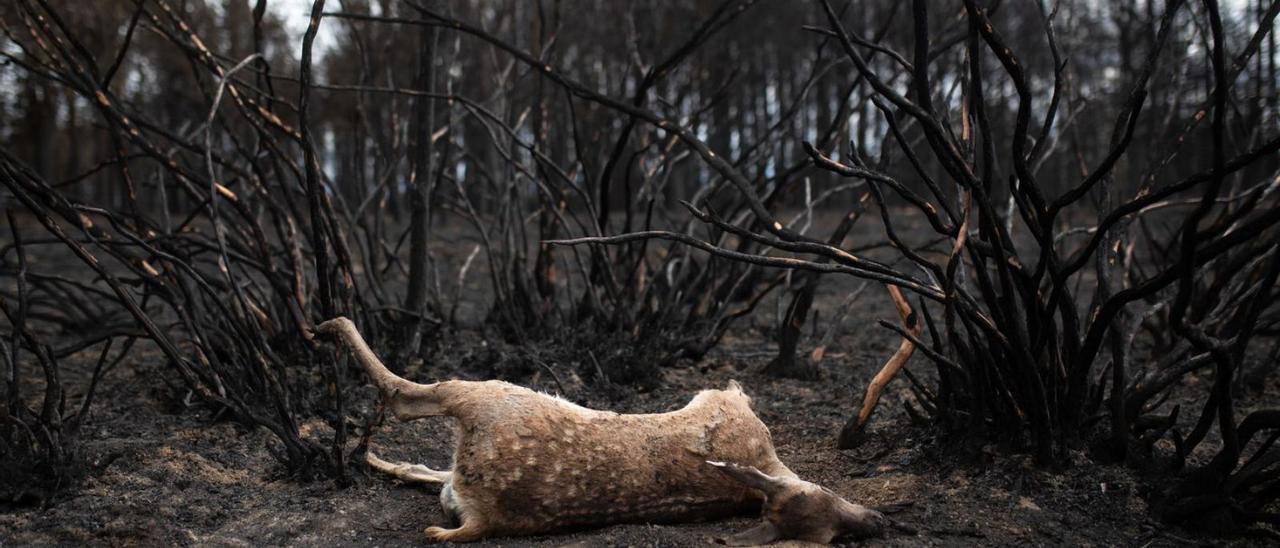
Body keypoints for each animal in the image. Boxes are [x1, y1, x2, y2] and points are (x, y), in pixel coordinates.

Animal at [314, 316, 885, 542]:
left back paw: (327, 329)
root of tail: (483, 517)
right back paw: (369, 454)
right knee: (426, 459)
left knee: (404, 396)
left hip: (492, 395)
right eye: (832, 526)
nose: (877, 521)